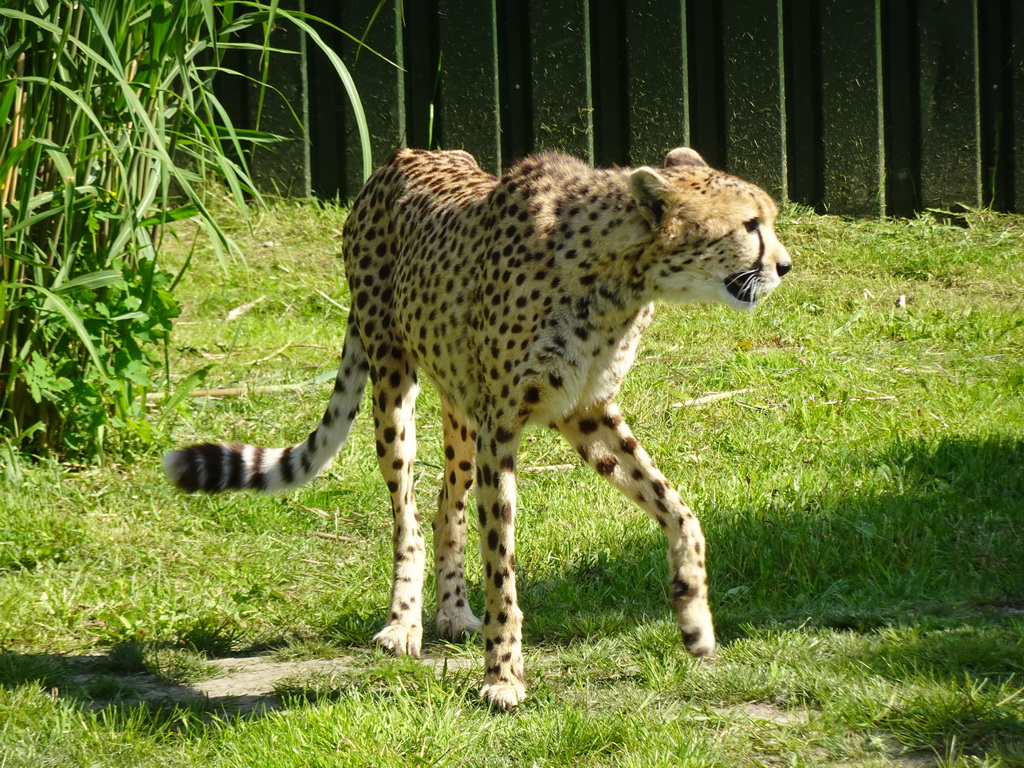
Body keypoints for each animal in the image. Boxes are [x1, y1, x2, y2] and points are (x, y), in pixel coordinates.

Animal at [165, 147, 790, 712]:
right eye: (749, 224)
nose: (784, 266)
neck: (618, 275)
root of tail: (400, 156)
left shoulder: (586, 412)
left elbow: (679, 508)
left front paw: (695, 619)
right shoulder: (504, 426)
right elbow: (502, 568)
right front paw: (503, 677)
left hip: (461, 415)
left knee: (447, 507)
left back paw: (451, 610)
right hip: (394, 380)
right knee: (408, 518)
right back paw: (404, 624)